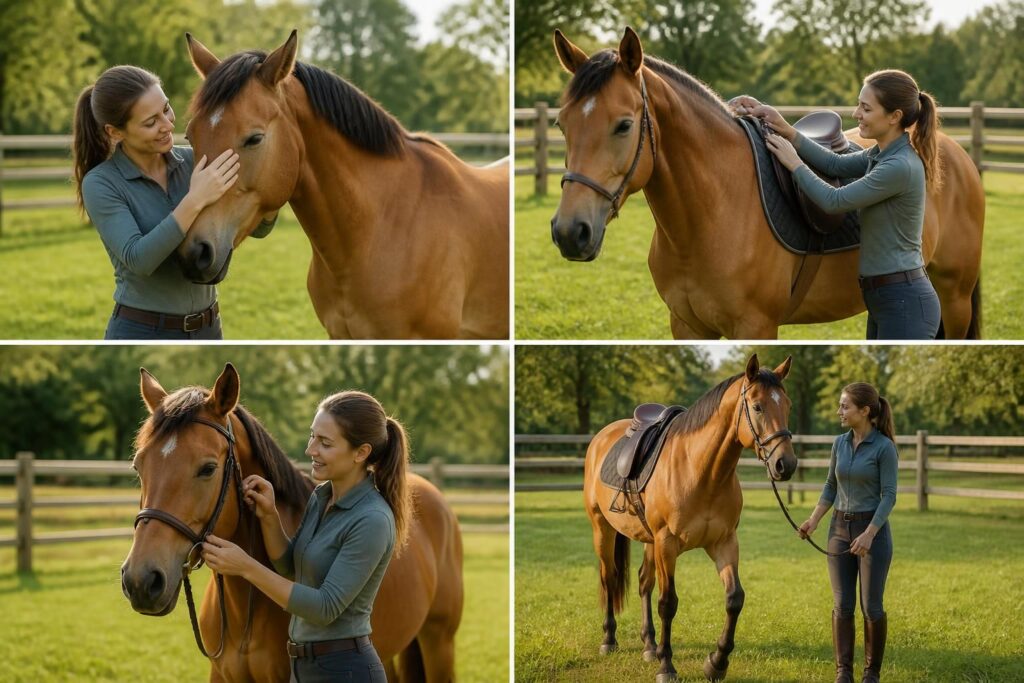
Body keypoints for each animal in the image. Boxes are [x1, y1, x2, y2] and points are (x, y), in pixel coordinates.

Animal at [551, 28, 984, 339]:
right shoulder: (687, 326)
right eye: (561, 123)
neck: (711, 214)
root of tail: (956, 154)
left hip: (955, 297)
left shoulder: (756, 325)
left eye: (624, 125)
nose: (570, 232)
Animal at [583, 354, 798, 682]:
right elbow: (668, 602)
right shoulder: (667, 544)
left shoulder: (724, 542)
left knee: (644, 582)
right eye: (758, 406)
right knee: (609, 577)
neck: (701, 472)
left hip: (648, 540)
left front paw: (716, 662)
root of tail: (601, 438)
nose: (785, 464)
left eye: (786, 405)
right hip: (603, 529)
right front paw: (667, 666)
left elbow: (734, 598)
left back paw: (649, 645)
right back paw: (609, 640)